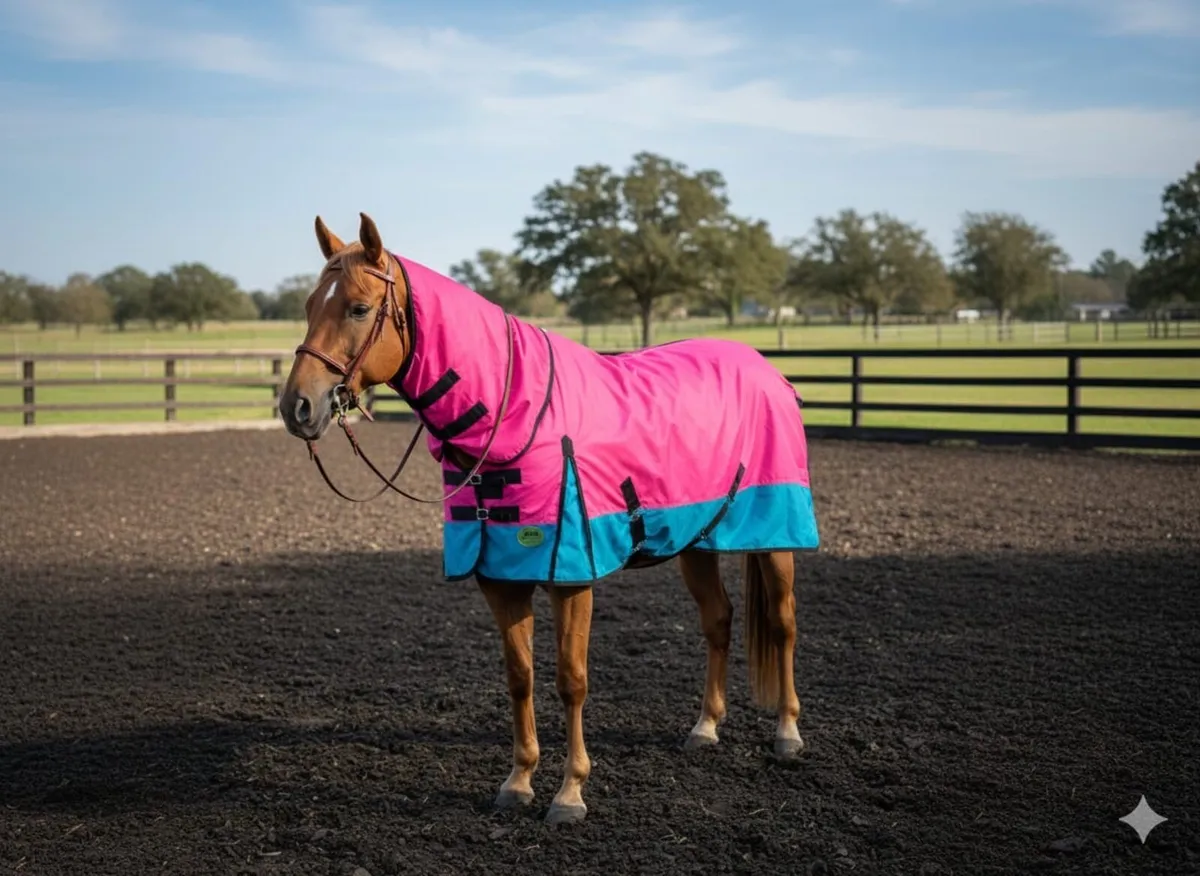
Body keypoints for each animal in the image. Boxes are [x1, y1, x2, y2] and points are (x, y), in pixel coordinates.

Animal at [278, 212, 821, 825]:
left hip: (775, 536)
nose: (297, 407)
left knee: (783, 623)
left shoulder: (571, 576)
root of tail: (768, 371)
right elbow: (520, 677)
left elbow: (570, 680)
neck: (513, 409)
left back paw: (787, 734)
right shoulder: (500, 577)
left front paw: (570, 792)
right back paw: (705, 727)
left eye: (358, 308)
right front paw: (519, 781)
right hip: (698, 541)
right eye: (308, 305)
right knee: (719, 620)